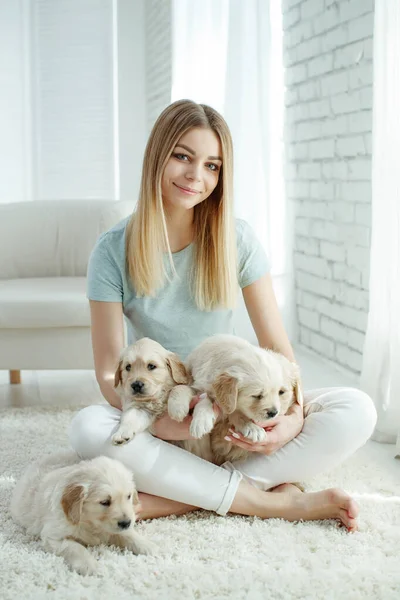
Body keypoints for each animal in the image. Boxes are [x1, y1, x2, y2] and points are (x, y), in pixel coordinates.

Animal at [10, 450, 155, 576]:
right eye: (105, 502)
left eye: (128, 496)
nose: (126, 523)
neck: (89, 522)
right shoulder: (53, 537)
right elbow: (75, 547)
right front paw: (89, 565)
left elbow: (128, 534)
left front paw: (146, 545)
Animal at [167, 336, 302, 466]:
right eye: (257, 395)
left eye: (281, 392)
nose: (273, 413)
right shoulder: (198, 383)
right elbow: (182, 388)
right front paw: (183, 412)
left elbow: (233, 413)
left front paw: (252, 428)